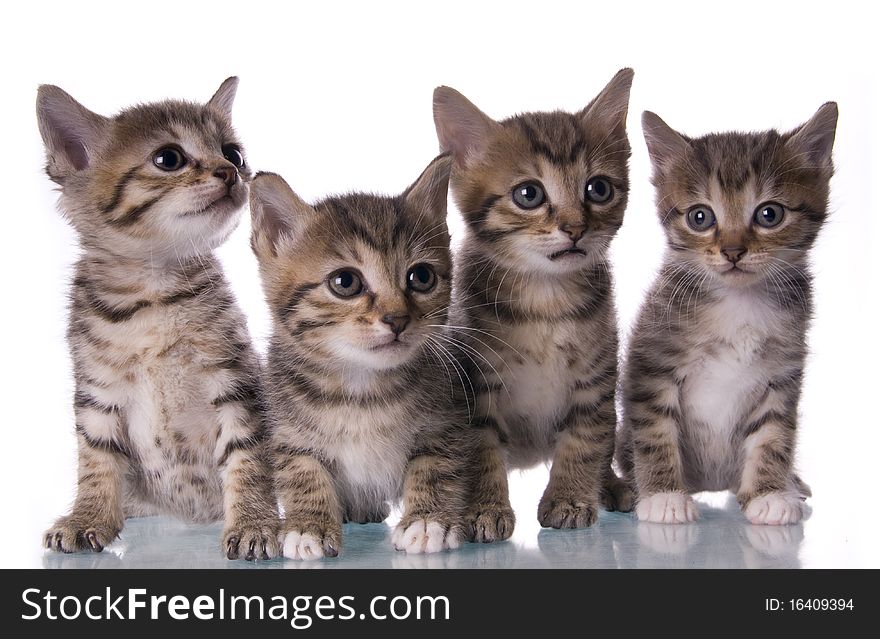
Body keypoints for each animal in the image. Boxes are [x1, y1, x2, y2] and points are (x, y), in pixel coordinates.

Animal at [37, 80, 278, 560]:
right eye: (169, 158)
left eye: (233, 152)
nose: (231, 171)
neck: (153, 298)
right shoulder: (98, 392)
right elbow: (96, 460)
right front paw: (88, 516)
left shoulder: (236, 381)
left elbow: (247, 456)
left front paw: (254, 522)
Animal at [251, 155, 474, 560]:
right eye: (346, 282)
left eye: (421, 276)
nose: (397, 319)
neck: (361, 388)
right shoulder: (288, 431)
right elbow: (302, 471)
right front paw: (307, 526)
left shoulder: (446, 421)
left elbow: (435, 465)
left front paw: (427, 521)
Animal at [432, 69, 632, 540]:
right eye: (529, 194)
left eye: (598, 188)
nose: (576, 228)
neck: (545, 302)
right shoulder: (474, 388)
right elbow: (480, 450)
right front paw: (484, 509)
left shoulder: (596, 381)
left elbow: (585, 440)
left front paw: (570, 498)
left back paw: (611, 486)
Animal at [620, 104, 840, 524]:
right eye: (700, 217)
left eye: (769, 214)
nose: (733, 251)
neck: (738, 303)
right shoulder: (653, 363)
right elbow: (655, 431)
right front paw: (663, 496)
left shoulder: (781, 376)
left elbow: (773, 436)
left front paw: (768, 494)